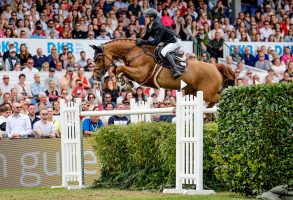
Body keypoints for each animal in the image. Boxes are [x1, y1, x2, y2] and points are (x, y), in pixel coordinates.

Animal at [91, 38, 235, 107]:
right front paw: (125, 82)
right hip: (193, 91)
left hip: (207, 93)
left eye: (98, 59)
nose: (95, 76)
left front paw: (123, 81)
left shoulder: (140, 74)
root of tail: (215, 66)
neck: (134, 52)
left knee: (218, 98)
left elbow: (120, 68)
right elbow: (117, 70)